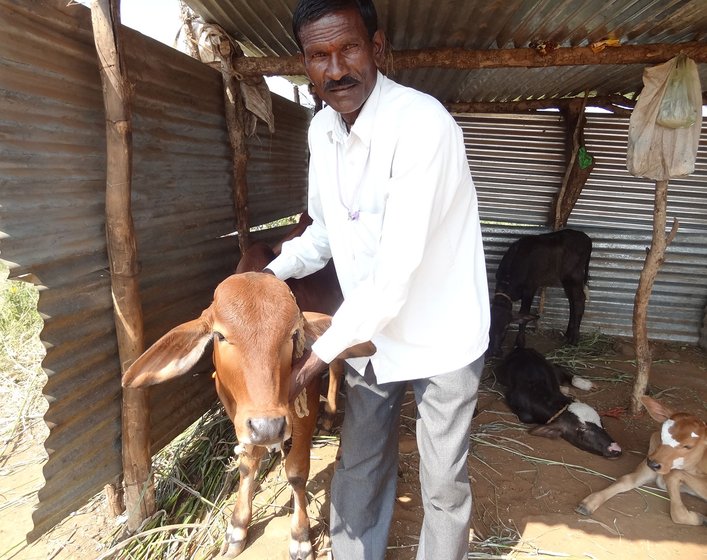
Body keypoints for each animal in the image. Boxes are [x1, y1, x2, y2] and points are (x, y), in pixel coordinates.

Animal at [121, 272, 376, 556]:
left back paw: (330, 415)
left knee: (338, 362)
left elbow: (297, 472)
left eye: (293, 334)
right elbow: (247, 464)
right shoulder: (241, 420)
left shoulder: (301, 410)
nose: (268, 426)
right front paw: (238, 526)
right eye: (220, 335)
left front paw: (300, 535)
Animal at [580, 394, 704, 524]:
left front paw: (700, 518)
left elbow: (675, 475)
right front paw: (589, 503)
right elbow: (625, 480)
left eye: (688, 446)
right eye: (661, 435)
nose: (653, 463)